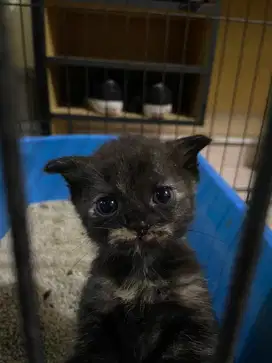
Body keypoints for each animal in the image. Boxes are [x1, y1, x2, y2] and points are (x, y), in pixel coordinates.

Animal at [45, 135, 219, 363]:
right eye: (106, 204)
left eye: (163, 194)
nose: (139, 224)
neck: (142, 272)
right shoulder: (97, 315)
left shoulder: (193, 317)